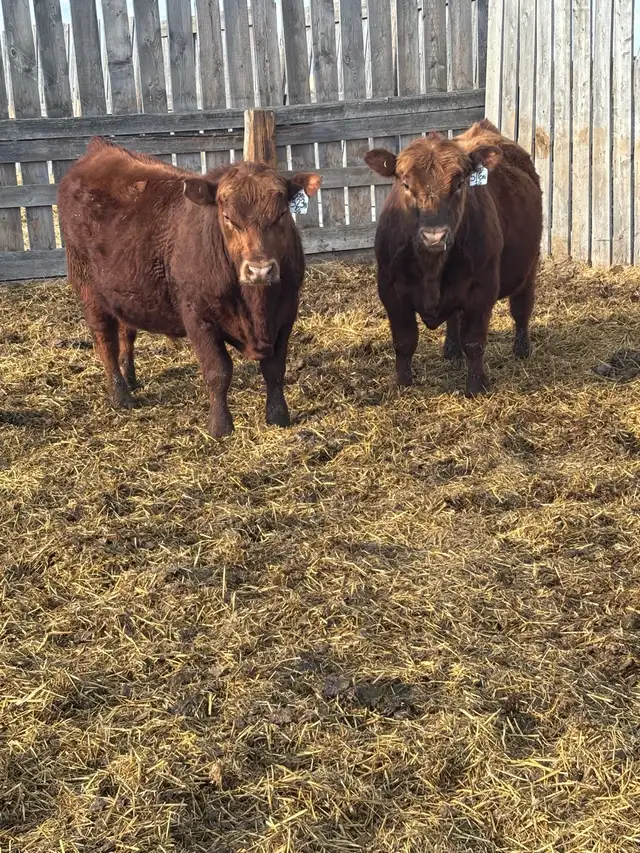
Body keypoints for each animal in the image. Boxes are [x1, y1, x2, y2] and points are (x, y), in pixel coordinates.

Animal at [57, 138, 321, 437]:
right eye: (228, 217)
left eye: (282, 214)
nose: (260, 269)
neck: (257, 307)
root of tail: (98, 150)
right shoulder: (198, 316)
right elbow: (218, 372)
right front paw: (220, 426)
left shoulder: (286, 313)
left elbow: (275, 368)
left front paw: (278, 416)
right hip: (89, 289)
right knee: (105, 341)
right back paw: (120, 395)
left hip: (124, 291)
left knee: (127, 333)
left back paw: (131, 379)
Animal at [364, 119, 542, 397]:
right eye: (406, 185)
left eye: (459, 184)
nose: (434, 236)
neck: (431, 268)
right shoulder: (390, 290)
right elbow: (404, 340)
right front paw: (403, 383)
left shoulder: (482, 290)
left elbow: (475, 342)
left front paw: (476, 386)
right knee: (454, 317)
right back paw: (451, 350)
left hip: (530, 264)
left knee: (522, 308)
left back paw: (521, 349)